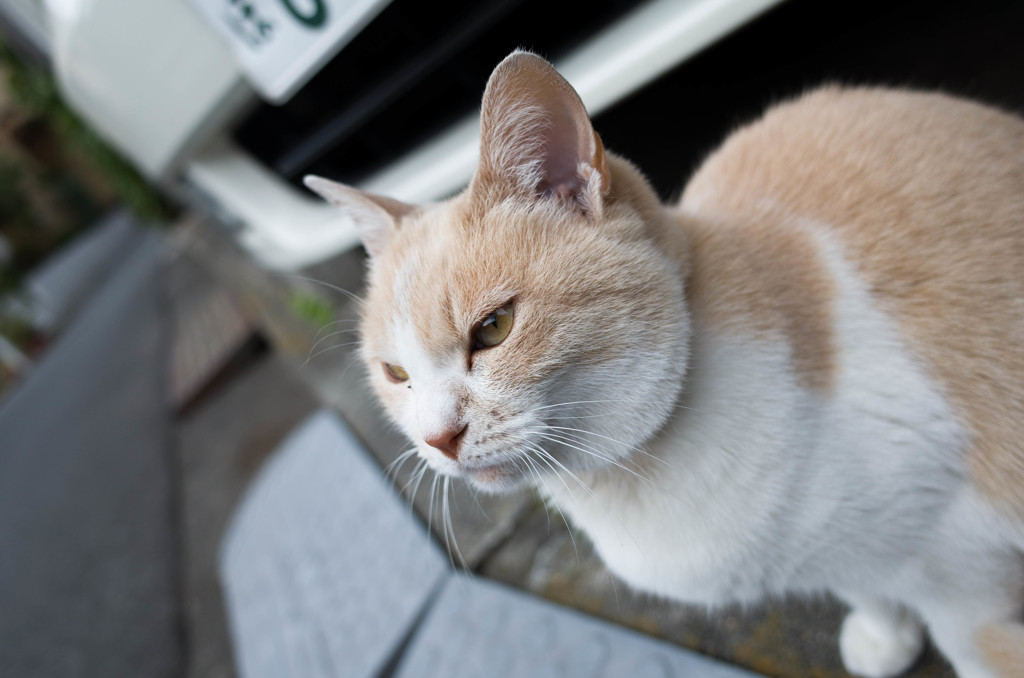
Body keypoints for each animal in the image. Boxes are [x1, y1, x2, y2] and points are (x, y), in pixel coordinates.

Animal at [307, 50, 1024, 675]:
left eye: (493, 328)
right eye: (396, 375)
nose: (436, 438)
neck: (630, 479)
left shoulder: (961, 576)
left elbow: (970, 642)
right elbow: (863, 583)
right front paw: (884, 632)